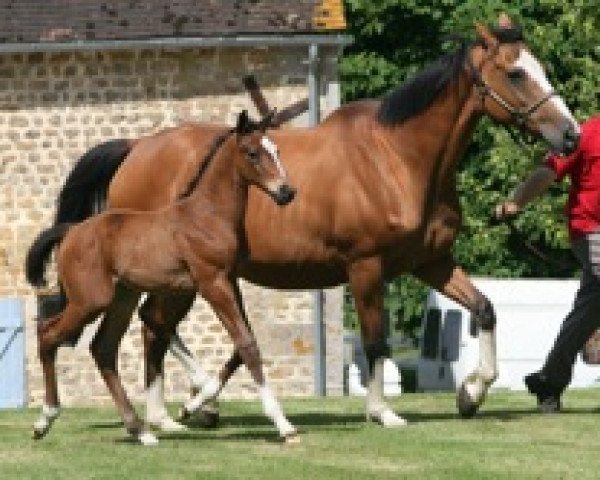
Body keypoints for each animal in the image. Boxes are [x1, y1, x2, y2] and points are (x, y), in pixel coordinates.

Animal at [25, 110, 298, 444]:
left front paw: (198, 406)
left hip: (122, 297)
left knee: (103, 348)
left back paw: (140, 430)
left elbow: (246, 340)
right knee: (49, 334)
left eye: (277, 150)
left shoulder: (230, 282)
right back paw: (45, 419)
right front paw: (283, 425)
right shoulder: (212, 284)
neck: (207, 215)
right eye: (252, 153)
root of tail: (71, 231)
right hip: (91, 300)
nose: (286, 192)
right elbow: (246, 344)